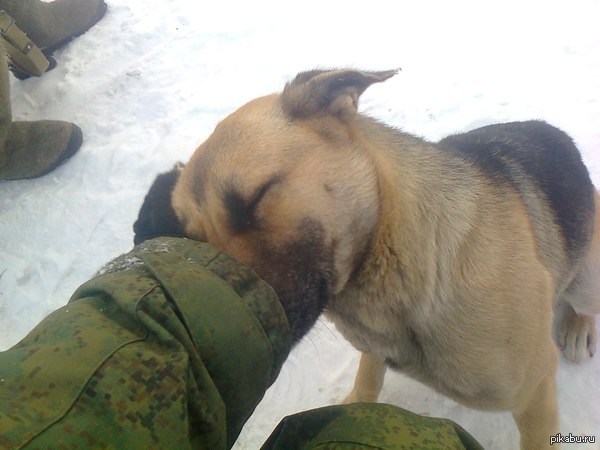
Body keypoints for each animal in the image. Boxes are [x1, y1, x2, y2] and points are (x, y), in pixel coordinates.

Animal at [135, 68, 600, 448]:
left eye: (255, 199)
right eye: (195, 244)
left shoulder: (535, 387)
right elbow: (368, 376)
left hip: (586, 280)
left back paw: (578, 326)